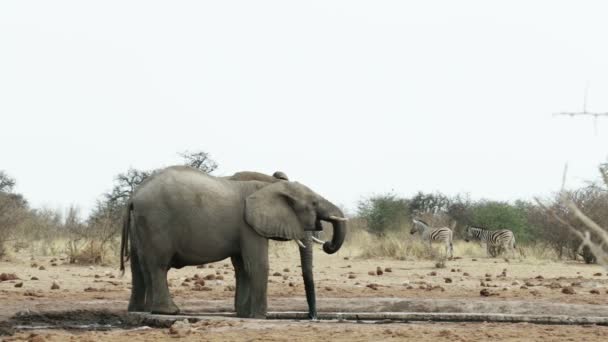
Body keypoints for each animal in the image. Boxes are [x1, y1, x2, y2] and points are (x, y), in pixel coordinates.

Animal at [119, 165, 346, 318]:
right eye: (314, 203)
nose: (312, 317)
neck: (269, 185)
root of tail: (134, 196)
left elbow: (242, 266)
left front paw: (244, 314)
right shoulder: (248, 225)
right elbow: (257, 264)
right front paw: (259, 317)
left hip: (141, 224)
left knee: (139, 266)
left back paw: (141, 310)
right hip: (156, 220)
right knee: (158, 265)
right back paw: (168, 311)